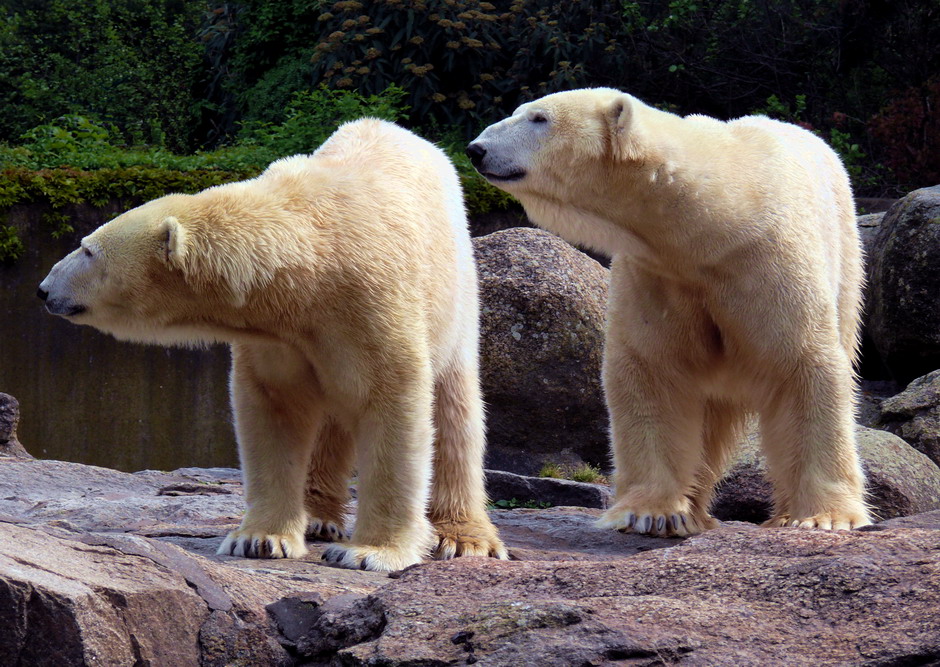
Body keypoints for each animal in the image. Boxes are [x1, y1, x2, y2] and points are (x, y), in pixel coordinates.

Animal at [38, 118, 506, 568]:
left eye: (87, 250)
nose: (43, 290)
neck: (311, 264)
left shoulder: (372, 302)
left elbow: (392, 406)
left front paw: (370, 552)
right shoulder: (279, 334)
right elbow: (274, 411)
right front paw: (260, 539)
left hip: (456, 294)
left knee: (456, 411)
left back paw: (465, 538)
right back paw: (317, 517)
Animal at [466, 88, 872, 536]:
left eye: (539, 118)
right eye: (521, 112)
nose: (475, 149)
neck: (715, 219)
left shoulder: (767, 263)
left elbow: (802, 365)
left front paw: (823, 518)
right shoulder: (658, 272)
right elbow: (653, 369)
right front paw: (650, 513)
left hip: (848, 258)